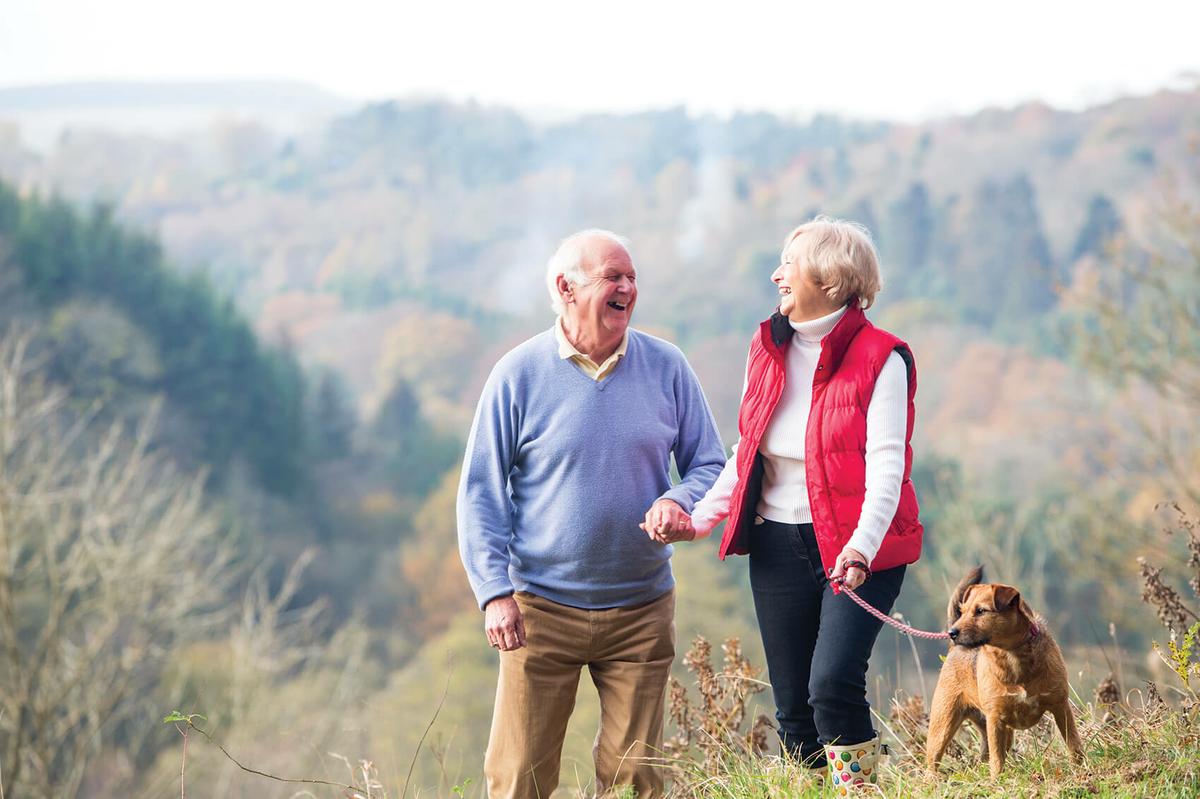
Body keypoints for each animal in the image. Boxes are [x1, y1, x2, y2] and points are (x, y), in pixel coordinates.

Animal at [921, 563, 1084, 772]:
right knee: (933, 764)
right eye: (963, 611)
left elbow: (1073, 744)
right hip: (943, 726)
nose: (952, 633)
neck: (1012, 655)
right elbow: (997, 762)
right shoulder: (996, 719)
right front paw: (997, 778)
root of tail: (953, 649)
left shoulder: (1060, 706)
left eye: (980, 611)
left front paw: (1081, 768)